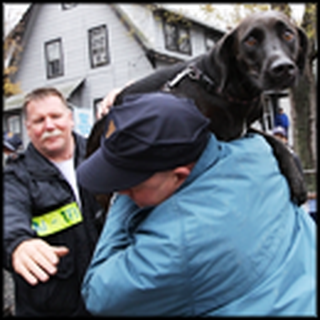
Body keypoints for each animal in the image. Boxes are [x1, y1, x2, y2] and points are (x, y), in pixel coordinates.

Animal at [86, 10, 308, 208]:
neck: (220, 87)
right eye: (250, 41)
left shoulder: (243, 130)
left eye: (288, 35)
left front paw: (296, 179)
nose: (283, 68)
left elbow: (274, 140)